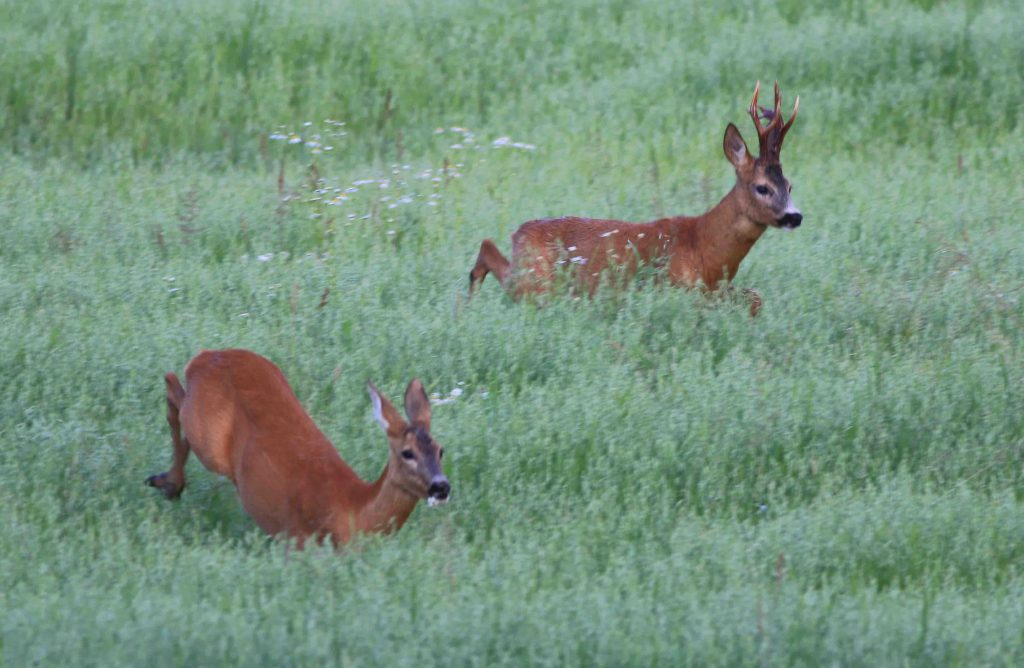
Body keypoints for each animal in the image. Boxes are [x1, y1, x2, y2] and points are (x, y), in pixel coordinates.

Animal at [146, 350, 450, 549]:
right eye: (407, 453)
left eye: (440, 450)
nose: (441, 486)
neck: (354, 509)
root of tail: (204, 357)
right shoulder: (300, 541)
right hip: (207, 437)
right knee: (173, 386)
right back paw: (169, 484)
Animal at [468, 81, 802, 315]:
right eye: (762, 187)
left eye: (789, 185)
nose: (795, 216)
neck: (705, 249)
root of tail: (519, 233)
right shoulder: (678, 287)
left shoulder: (717, 290)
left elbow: (755, 297)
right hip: (535, 280)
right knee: (491, 256)